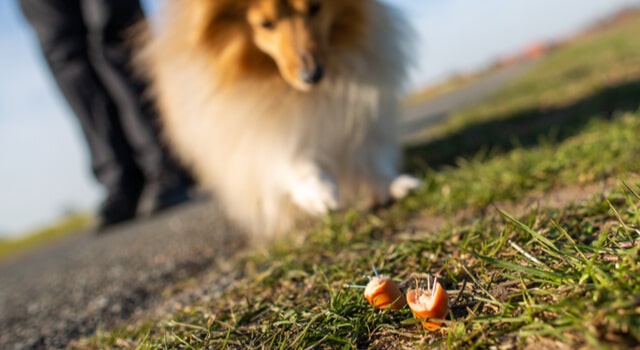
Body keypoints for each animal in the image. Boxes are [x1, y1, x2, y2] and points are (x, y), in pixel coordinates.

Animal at [138, 0, 422, 238]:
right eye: (266, 24)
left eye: (315, 7)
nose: (312, 75)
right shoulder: (241, 123)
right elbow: (280, 154)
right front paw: (318, 191)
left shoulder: (359, 113)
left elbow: (368, 153)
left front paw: (389, 184)